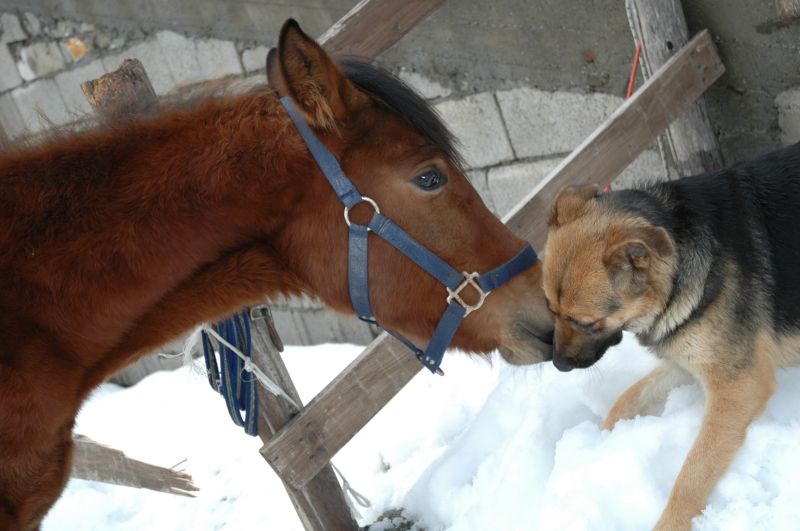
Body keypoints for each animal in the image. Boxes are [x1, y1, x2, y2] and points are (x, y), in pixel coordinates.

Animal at [536, 143, 800, 528]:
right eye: (551, 310)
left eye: (584, 321)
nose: (557, 364)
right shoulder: (684, 358)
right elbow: (628, 398)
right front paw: (597, 446)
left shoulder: (739, 385)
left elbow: (693, 474)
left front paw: (670, 523)